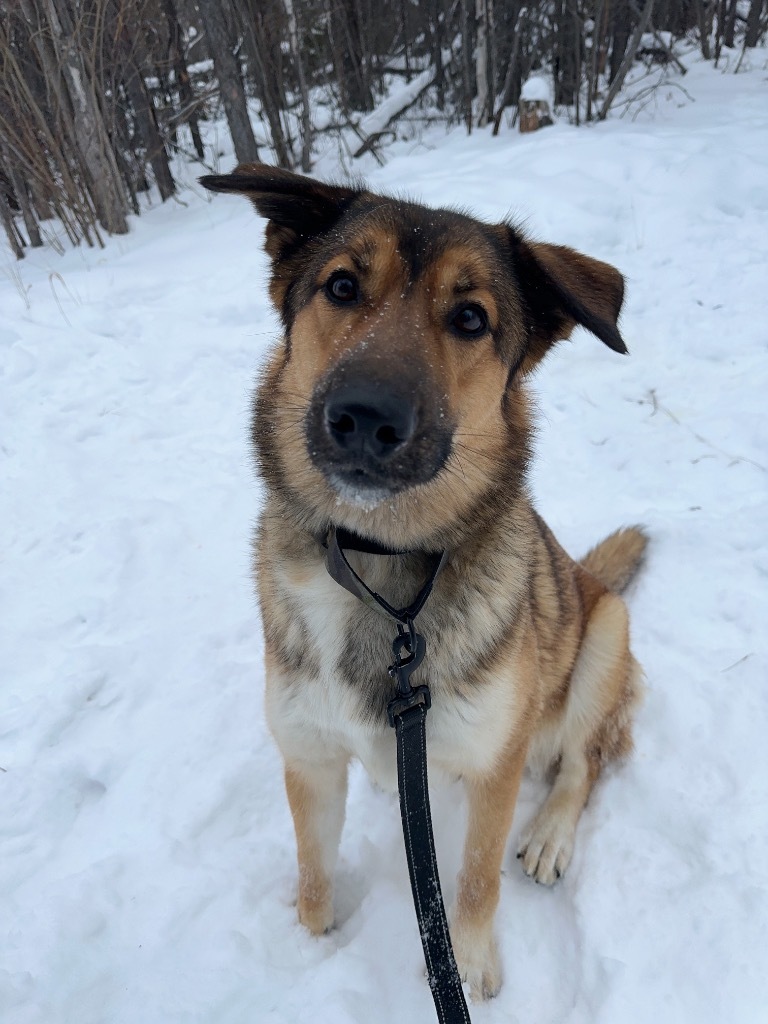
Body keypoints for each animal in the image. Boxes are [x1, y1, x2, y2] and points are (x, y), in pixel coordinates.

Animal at [201, 165, 647, 999]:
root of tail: (585, 576)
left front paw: (465, 963)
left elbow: (471, 880)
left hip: (604, 633)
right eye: (342, 286)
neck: (376, 564)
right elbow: (314, 874)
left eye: (470, 318)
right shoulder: (310, 759)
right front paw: (311, 939)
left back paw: (550, 832)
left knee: (585, 761)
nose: (365, 417)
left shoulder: (496, 764)